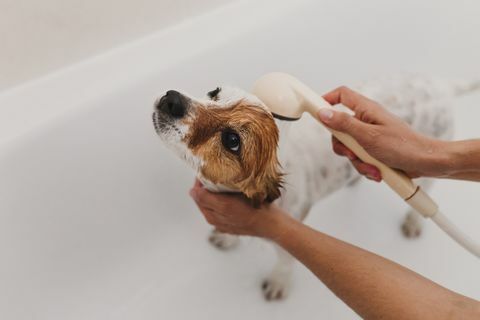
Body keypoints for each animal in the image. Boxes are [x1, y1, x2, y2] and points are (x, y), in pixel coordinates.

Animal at [152, 74, 478, 300]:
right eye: (214, 93)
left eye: (232, 140)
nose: (173, 98)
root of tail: (440, 85)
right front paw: (226, 238)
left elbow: (285, 261)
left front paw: (278, 283)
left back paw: (413, 222)